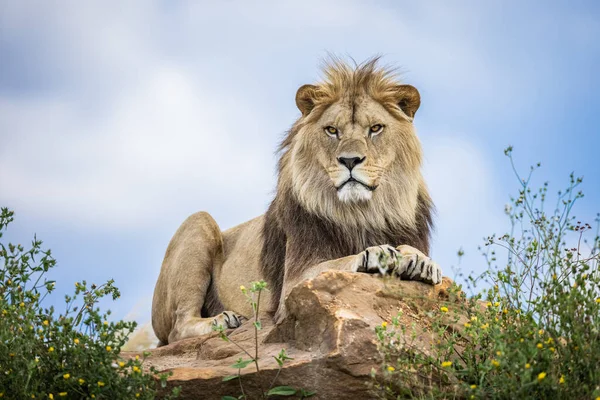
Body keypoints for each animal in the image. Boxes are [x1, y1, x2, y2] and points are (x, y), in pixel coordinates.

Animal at [150, 57, 440, 346]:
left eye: (376, 128)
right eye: (332, 130)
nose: (349, 160)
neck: (362, 212)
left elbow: (416, 254)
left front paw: (423, 263)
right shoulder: (294, 282)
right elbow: (338, 261)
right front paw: (375, 253)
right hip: (198, 221)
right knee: (177, 329)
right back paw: (223, 320)